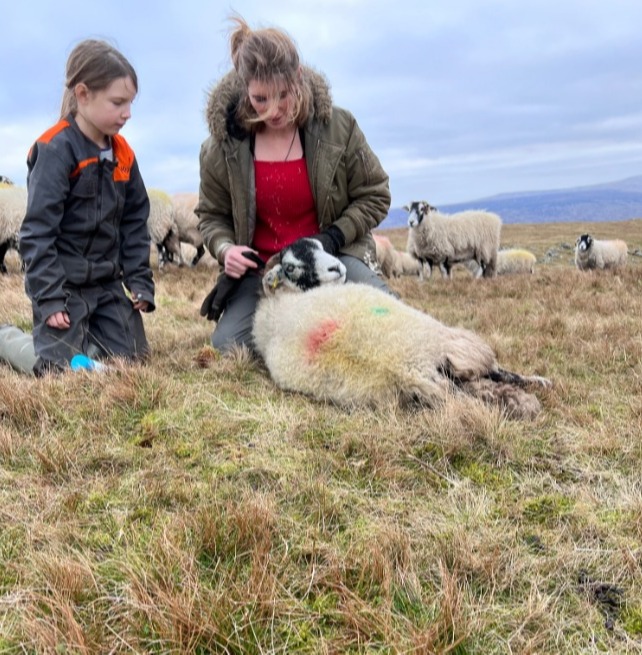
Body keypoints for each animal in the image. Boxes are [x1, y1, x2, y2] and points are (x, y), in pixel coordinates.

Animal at [251, 237, 552, 420]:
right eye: (291, 266)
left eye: (320, 245)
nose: (337, 268)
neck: (277, 303)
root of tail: (410, 369)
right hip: (460, 344)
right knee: (499, 374)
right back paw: (535, 387)